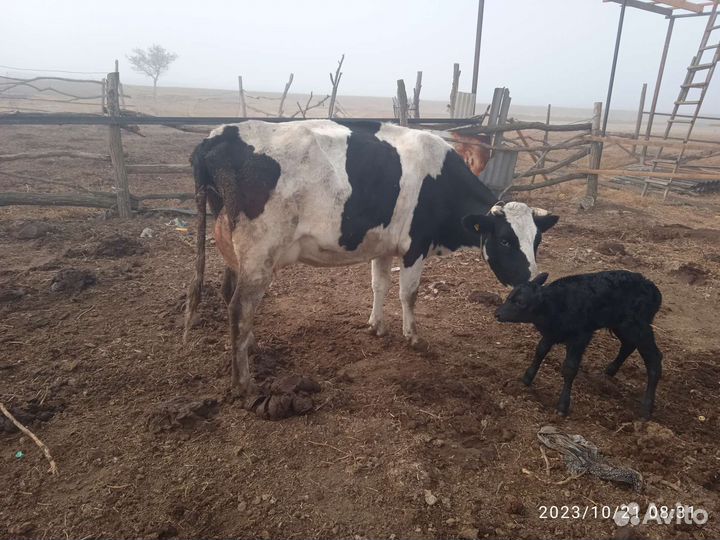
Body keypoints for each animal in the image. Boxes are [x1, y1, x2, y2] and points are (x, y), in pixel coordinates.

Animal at [184, 119, 559, 395]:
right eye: (506, 240)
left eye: (537, 240)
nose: (532, 282)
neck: (441, 179)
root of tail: (219, 135)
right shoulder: (415, 246)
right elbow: (408, 294)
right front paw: (414, 337)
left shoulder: (383, 246)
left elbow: (380, 285)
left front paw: (376, 326)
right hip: (259, 253)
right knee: (239, 307)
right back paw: (244, 383)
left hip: (236, 252)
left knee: (229, 295)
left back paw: (250, 347)